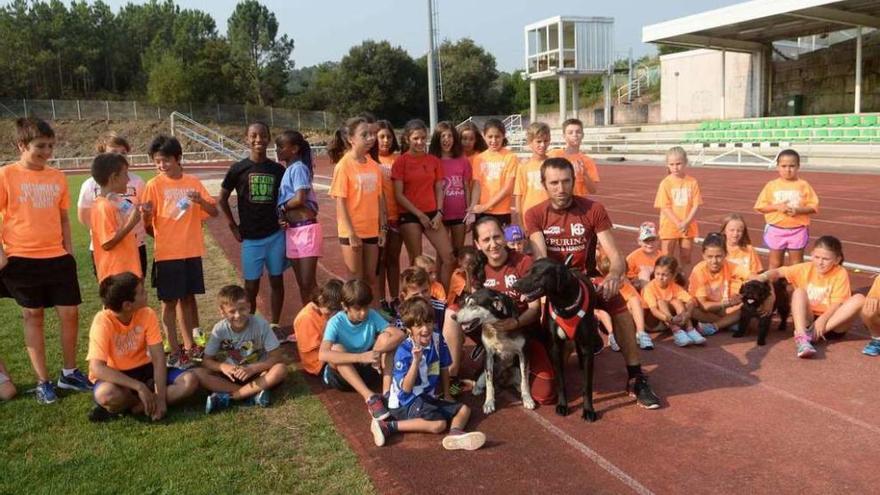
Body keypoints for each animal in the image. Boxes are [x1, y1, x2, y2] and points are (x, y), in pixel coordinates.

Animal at [512, 256, 600, 422]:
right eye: (527, 271)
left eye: (537, 274)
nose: (514, 285)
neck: (565, 305)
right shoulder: (555, 347)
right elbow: (560, 381)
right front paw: (562, 405)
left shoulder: (587, 347)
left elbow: (587, 385)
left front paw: (588, 410)